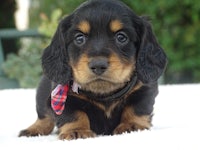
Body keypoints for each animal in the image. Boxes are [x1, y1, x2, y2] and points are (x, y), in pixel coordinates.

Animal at [19, 0, 167, 140]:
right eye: (79, 38)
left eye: (121, 37)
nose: (98, 65)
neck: (104, 94)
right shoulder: (66, 98)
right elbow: (73, 113)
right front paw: (77, 130)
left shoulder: (144, 89)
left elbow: (137, 107)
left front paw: (132, 125)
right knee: (44, 117)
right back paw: (34, 129)